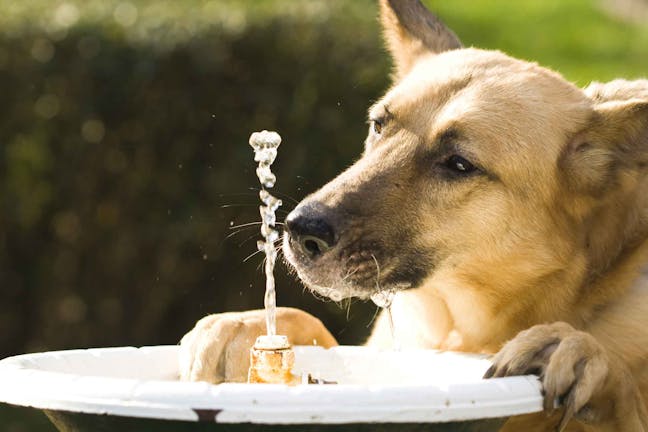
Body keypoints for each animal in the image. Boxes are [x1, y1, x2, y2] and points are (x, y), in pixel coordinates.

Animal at [178, 1, 648, 430]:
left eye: (459, 164)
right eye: (378, 125)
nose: (299, 231)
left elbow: (618, 393)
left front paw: (580, 354)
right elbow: (317, 334)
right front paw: (246, 327)